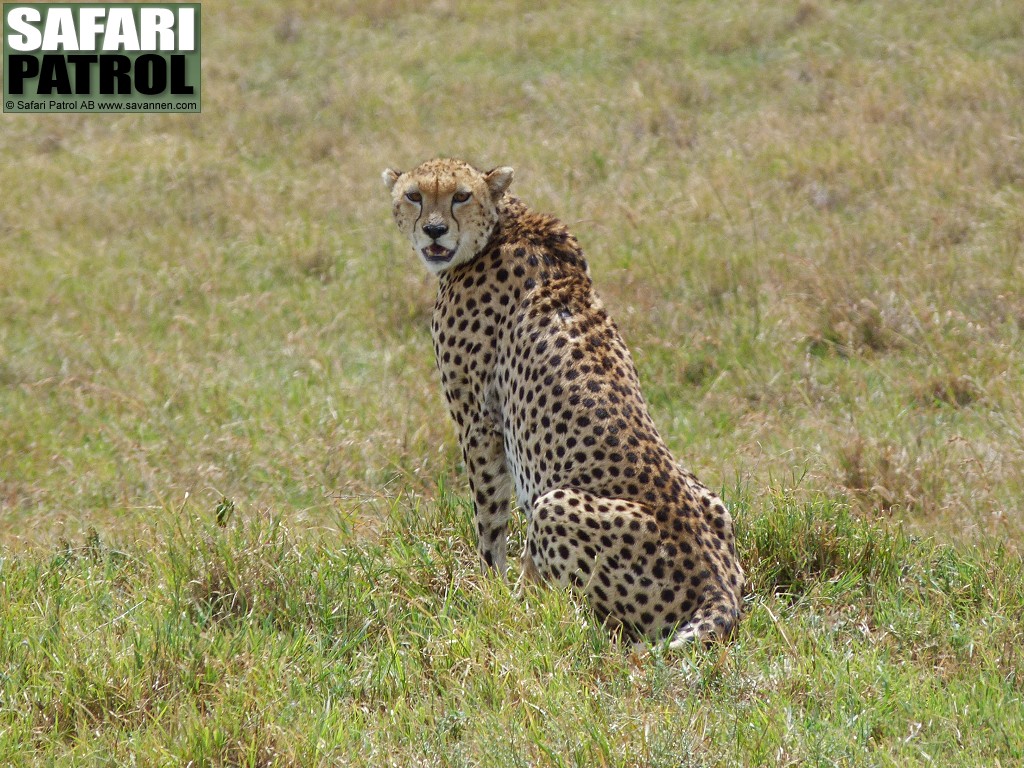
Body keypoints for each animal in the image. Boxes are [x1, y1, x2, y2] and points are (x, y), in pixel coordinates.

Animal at [385, 159, 745, 647]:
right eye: (414, 196)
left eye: (460, 195)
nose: (435, 230)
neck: (504, 223)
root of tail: (719, 586)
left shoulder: (478, 421)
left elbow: (489, 520)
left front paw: (490, 592)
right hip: (713, 501)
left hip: (553, 505)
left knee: (585, 617)